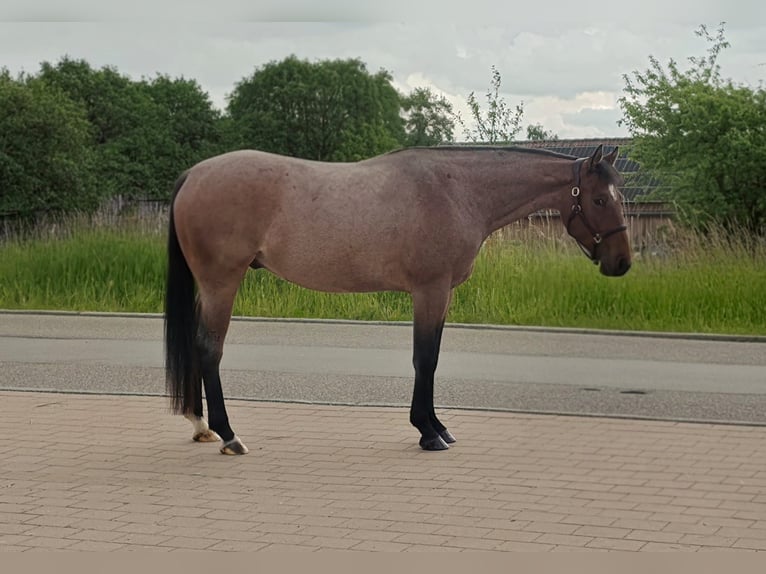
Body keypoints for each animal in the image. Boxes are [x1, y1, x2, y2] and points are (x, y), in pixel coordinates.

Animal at [165, 144, 631, 454]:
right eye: (600, 198)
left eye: (619, 197)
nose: (622, 263)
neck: (457, 191)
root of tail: (193, 174)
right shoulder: (429, 290)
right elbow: (425, 358)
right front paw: (427, 432)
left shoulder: (442, 295)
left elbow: (433, 357)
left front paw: (438, 426)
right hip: (221, 282)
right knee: (210, 349)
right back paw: (229, 435)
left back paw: (201, 425)